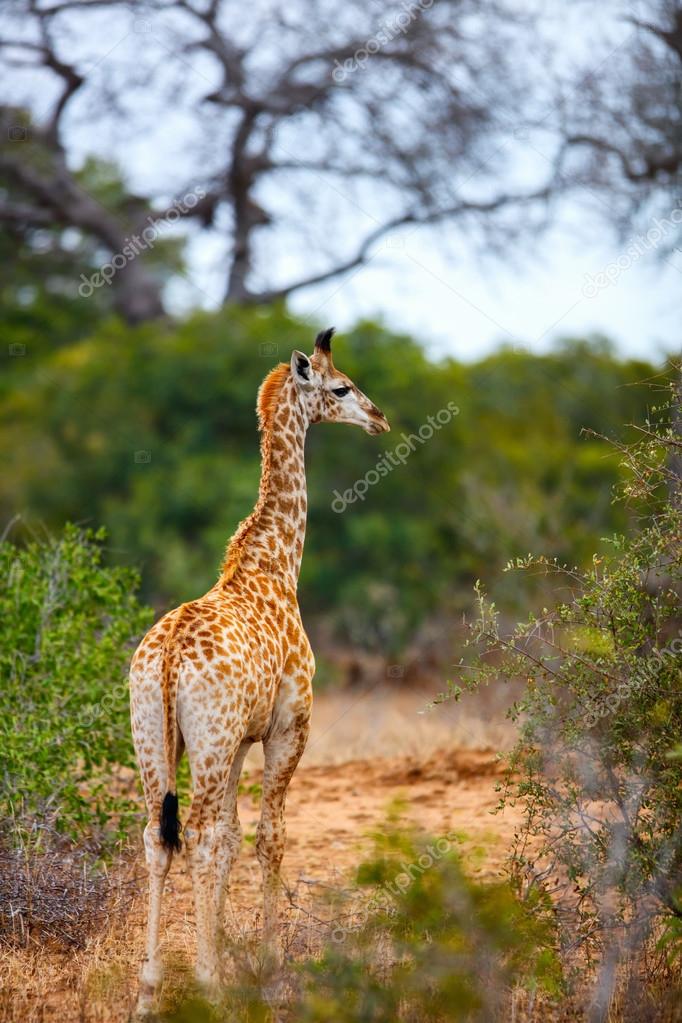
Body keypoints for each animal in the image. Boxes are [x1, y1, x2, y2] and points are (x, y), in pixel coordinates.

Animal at [129, 328, 390, 1014]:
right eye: (341, 387)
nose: (380, 418)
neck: (274, 564)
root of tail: (166, 658)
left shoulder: (243, 739)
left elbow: (231, 837)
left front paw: (224, 955)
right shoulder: (288, 727)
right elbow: (268, 836)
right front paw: (266, 970)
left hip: (154, 737)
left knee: (160, 836)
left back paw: (149, 991)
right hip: (209, 741)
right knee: (193, 836)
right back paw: (206, 986)